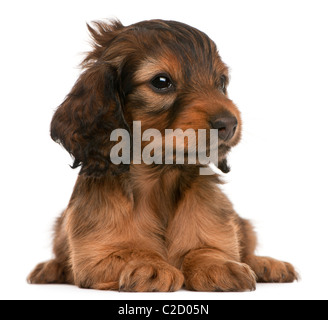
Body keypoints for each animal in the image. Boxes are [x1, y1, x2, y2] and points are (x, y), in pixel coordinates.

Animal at [28, 18, 298, 292]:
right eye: (161, 81)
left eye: (221, 82)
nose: (229, 124)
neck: (161, 178)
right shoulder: (94, 256)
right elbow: (131, 251)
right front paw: (150, 265)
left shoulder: (216, 229)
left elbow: (207, 249)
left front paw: (218, 266)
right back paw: (49, 268)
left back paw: (267, 264)